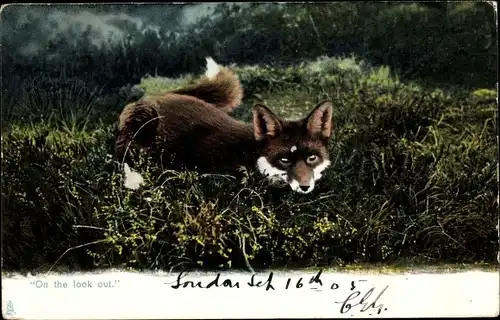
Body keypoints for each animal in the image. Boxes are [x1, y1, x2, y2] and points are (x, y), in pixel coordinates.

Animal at [115, 57, 334, 195]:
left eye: (312, 158)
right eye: (285, 160)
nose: (305, 187)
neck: (250, 154)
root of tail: (157, 95)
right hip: (144, 129)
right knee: (124, 157)